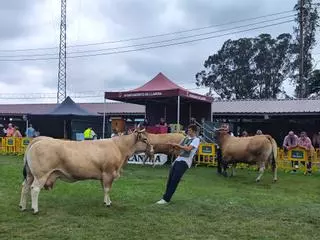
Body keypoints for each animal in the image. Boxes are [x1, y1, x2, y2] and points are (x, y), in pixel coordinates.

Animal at [18, 130, 150, 215]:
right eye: (145, 139)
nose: (152, 148)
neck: (119, 147)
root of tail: (38, 140)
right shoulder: (109, 173)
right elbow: (107, 189)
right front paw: (108, 204)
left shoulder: (103, 175)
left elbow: (104, 189)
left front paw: (106, 201)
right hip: (41, 175)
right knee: (34, 189)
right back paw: (35, 209)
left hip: (30, 175)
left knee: (25, 187)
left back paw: (22, 206)